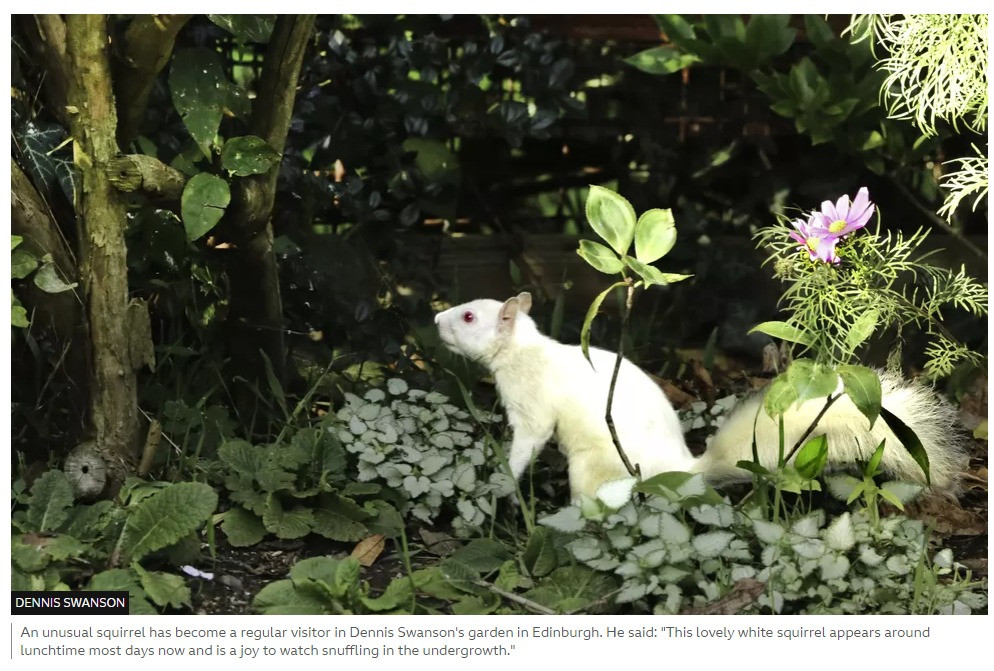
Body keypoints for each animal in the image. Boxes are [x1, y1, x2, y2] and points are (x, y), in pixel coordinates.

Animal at [432, 292, 960, 502]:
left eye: (470, 317)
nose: (436, 320)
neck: (523, 350)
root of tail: (684, 471)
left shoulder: (533, 406)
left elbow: (528, 441)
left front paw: (503, 480)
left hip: (596, 470)